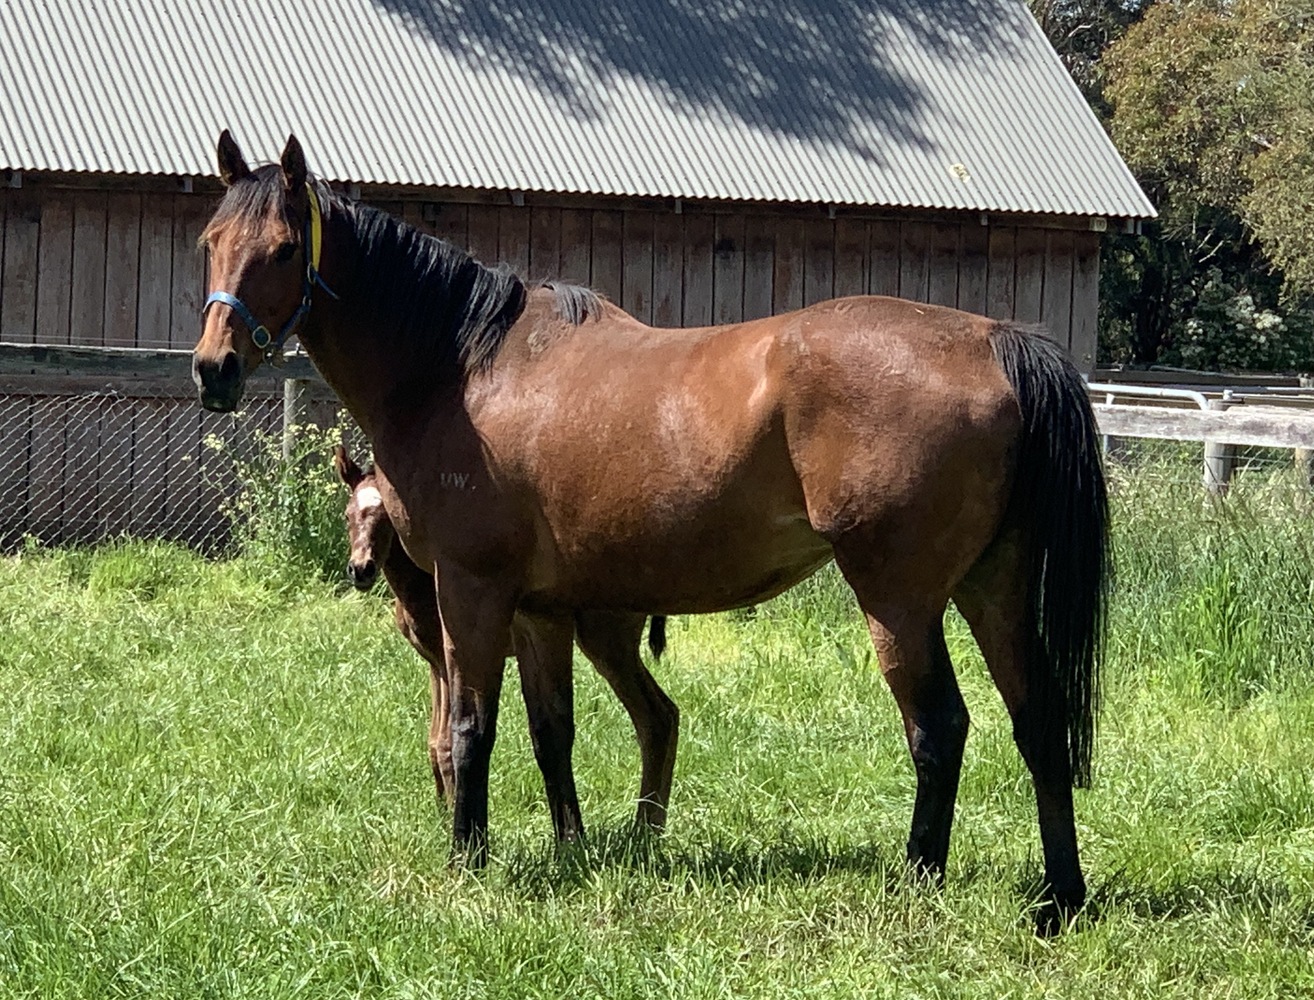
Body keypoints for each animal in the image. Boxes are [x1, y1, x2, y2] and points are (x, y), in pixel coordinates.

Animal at [333, 444, 674, 831]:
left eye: (385, 520)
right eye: (348, 515)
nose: (361, 570)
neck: (420, 585)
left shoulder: (449, 655)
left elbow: (445, 742)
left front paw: (450, 814)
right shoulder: (435, 662)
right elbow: (434, 741)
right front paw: (441, 812)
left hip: (605, 639)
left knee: (656, 716)